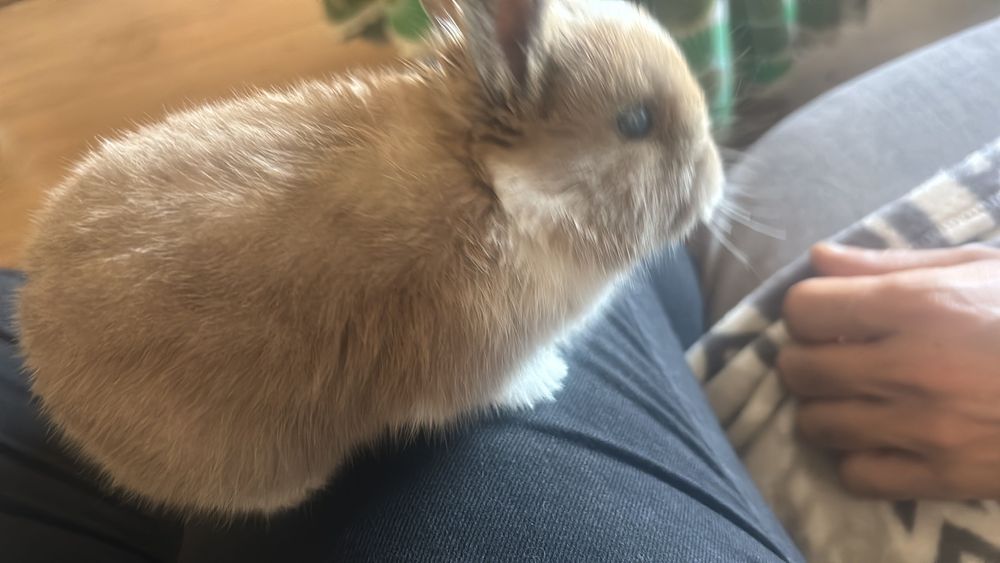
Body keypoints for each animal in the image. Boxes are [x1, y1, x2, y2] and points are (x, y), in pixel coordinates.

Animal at [15, 0, 723, 516]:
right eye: (635, 122)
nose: (715, 182)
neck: (497, 187)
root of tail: (34, 339)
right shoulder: (476, 358)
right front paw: (547, 382)